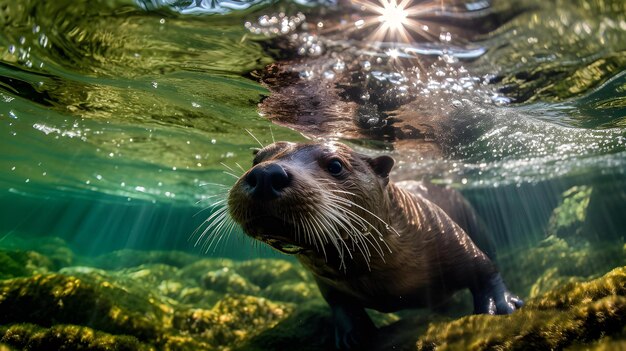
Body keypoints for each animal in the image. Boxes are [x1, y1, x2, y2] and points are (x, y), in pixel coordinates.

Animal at [227, 140, 520, 350]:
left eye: (336, 165)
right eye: (256, 159)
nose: (266, 174)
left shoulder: (447, 234)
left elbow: (484, 268)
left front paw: (501, 306)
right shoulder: (326, 283)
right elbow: (339, 304)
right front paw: (353, 335)